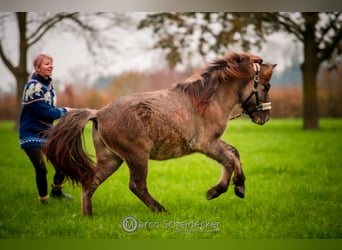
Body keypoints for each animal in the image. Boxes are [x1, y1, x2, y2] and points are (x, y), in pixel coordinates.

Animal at [42, 51, 276, 216]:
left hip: (111, 159)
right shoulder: (206, 144)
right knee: (136, 185)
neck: (208, 101)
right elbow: (229, 160)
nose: (264, 118)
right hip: (137, 156)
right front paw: (218, 191)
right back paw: (161, 211)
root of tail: (98, 113)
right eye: (266, 86)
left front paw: (239, 186)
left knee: (90, 182)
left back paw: (88, 216)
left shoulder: (214, 142)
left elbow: (234, 153)